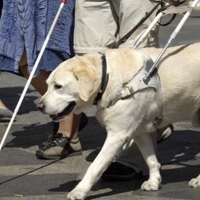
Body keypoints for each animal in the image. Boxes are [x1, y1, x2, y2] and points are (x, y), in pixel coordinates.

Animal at [37, 43, 200, 199]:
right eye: (47, 85)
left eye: (58, 86)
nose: (39, 106)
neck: (108, 77)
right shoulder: (139, 132)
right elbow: (150, 159)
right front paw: (154, 181)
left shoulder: (117, 135)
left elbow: (94, 167)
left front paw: (79, 191)